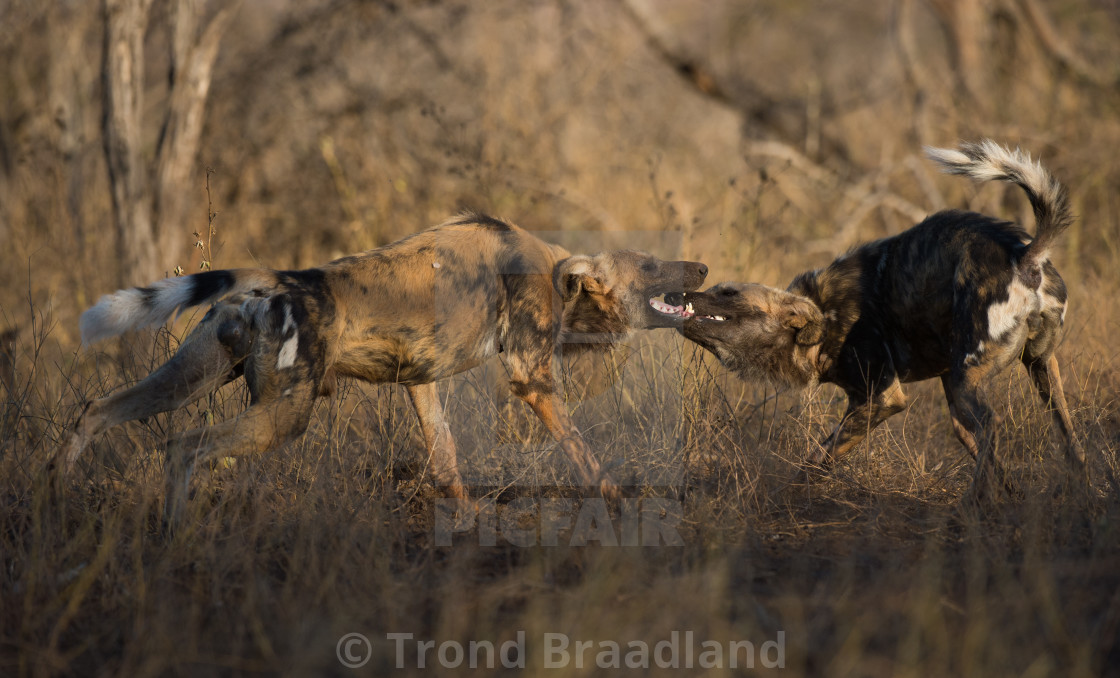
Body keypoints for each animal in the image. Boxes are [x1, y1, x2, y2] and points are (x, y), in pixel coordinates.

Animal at [56, 214, 703, 519]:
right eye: (651, 265)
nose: (699, 266)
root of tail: (277, 280)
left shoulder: (421, 382)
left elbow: (446, 458)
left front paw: (464, 521)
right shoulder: (533, 380)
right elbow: (584, 454)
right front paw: (617, 504)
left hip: (187, 379)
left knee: (97, 411)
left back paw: (48, 493)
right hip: (283, 417)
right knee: (183, 446)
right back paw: (174, 534)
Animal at [672, 140, 1084, 495]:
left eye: (728, 293)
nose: (681, 292)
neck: (823, 324)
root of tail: (1023, 254)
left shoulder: (882, 398)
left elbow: (817, 460)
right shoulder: (945, 394)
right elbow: (987, 457)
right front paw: (1013, 499)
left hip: (969, 380)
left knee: (992, 425)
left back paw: (972, 505)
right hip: (1035, 369)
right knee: (1067, 436)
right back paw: (1082, 496)